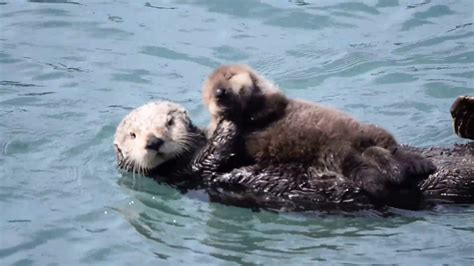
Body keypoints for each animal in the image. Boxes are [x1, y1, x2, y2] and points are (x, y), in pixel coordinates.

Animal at [202, 64, 436, 202]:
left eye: (230, 75)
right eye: (211, 94)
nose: (220, 93)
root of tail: (358, 145)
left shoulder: (274, 99)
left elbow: (272, 104)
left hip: (366, 132)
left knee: (392, 147)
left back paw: (419, 164)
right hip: (337, 153)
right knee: (362, 166)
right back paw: (385, 179)